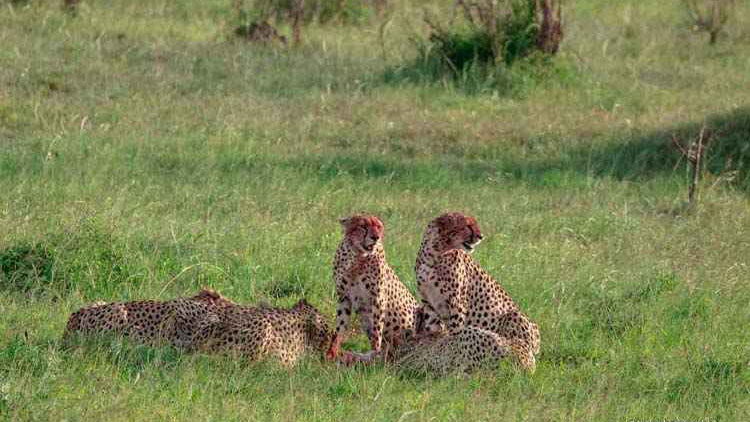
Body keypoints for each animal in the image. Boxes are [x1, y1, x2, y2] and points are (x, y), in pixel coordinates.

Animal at [328, 214, 420, 362]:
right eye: (362, 226)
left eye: (378, 227)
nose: (375, 237)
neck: (358, 256)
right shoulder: (344, 297)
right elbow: (339, 327)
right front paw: (331, 353)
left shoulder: (378, 299)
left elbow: (377, 331)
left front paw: (374, 355)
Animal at [418, 213, 540, 370]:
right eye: (468, 226)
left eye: (475, 224)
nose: (481, 236)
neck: (434, 254)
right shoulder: (428, 302)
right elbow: (432, 328)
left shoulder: (456, 304)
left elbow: (456, 332)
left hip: (514, 317)